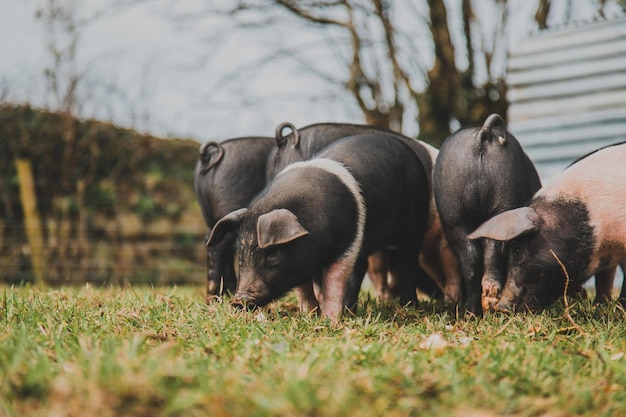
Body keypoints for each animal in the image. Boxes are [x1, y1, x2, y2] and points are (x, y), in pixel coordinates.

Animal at [207, 133, 432, 322]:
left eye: (272, 254)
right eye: (240, 253)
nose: (239, 299)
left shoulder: (350, 239)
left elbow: (334, 277)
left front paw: (329, 320)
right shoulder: (302, 260)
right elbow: (304, 286)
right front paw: (310, 314)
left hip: (415, 222)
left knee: (406, 262)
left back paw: (408, 305)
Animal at [432, 114, 540, 316]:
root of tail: (483, 134)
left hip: (453, 214)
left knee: (471, 259)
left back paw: (474, 312)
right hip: (505, 194)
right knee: (494, 246)